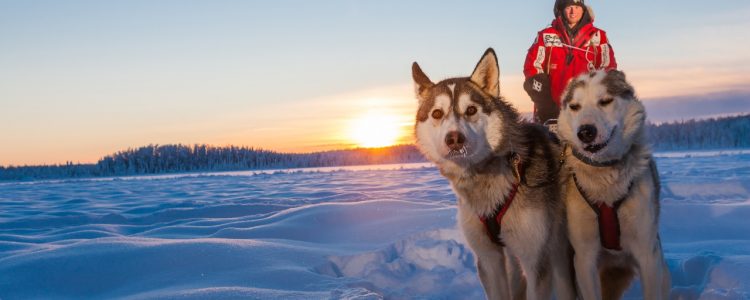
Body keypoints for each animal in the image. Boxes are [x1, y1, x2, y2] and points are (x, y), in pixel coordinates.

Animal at [412, 48, 576, 298]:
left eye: (471, 110)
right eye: (437, 113)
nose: (454, 139)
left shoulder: (535, 260)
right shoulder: (488, 258)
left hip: (558, 246)